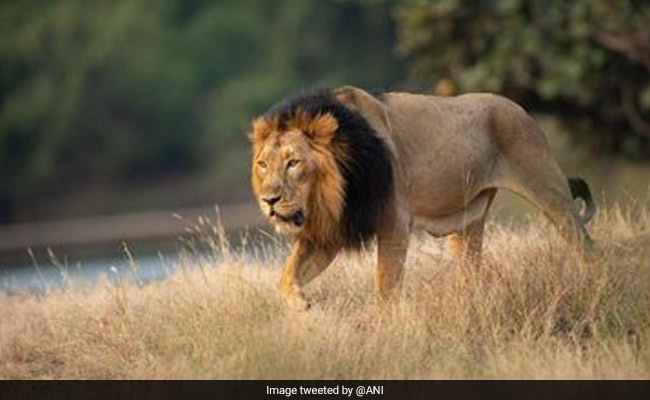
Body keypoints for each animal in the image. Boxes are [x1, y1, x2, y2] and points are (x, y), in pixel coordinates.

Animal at [250, 86, 595, 310]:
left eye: (294, 162)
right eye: (263, 164)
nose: (269, 200)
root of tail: (519, 108)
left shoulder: (394, 224)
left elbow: (386, 286)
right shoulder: (329, 233)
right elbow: (287, 275)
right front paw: (301, 307)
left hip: (548, 187)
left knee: (585, 245)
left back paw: (591, 287)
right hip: (469, 222)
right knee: (472, 270)